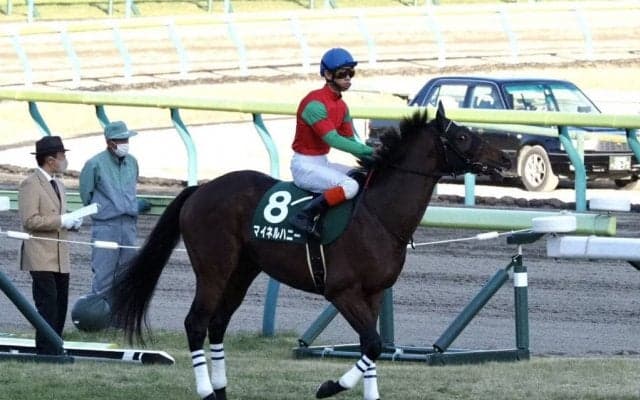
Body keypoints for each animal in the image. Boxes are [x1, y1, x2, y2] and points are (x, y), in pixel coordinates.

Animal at [112, 103, 510, 400]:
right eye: (462, 136)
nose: (505, 159)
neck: (378, 214)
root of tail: (200, 189)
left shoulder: (374, 292)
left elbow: (372, 347)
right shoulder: (342, 291)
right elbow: (372, 343)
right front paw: (330, 386)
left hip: (243, 270)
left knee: (218, 323)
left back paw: (222, 390)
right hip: (213, 268)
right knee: (196, 323)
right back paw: (208, 391)